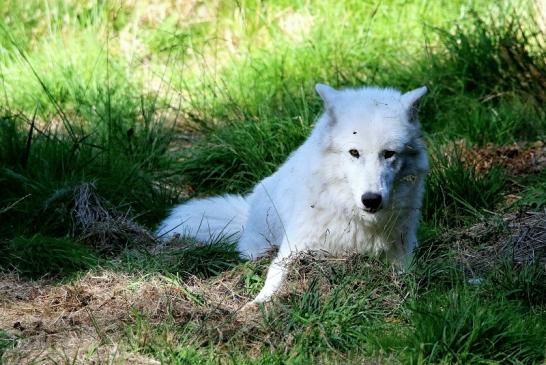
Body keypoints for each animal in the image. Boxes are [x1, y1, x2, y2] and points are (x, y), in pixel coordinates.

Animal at [155, 84, 428, 302]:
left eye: (389, 153)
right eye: (354, 152)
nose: (371, 200)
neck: (356, 220)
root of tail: (245, 213)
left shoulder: (401, 254)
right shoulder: (293, 250)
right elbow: (274, 279)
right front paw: (254, 308)